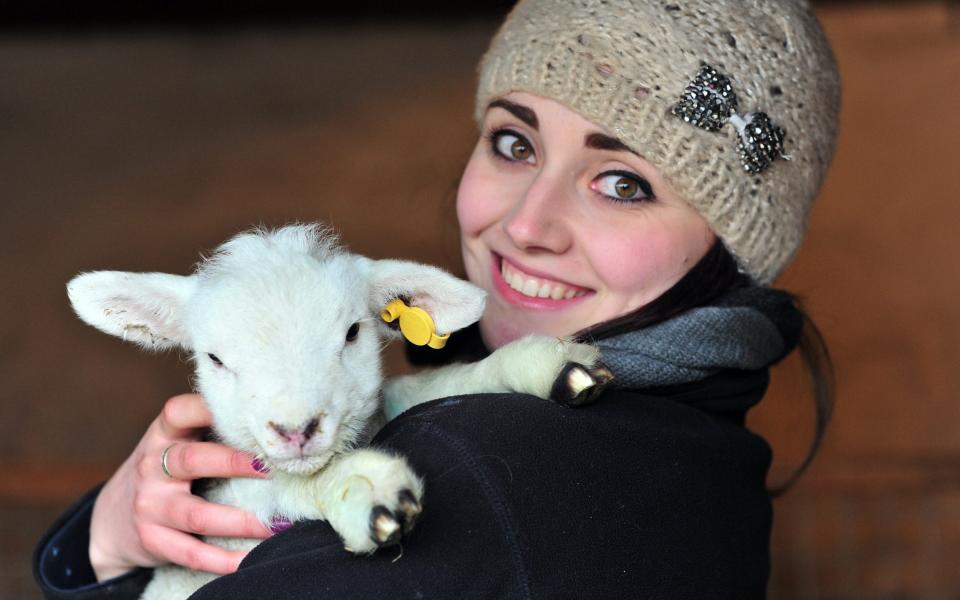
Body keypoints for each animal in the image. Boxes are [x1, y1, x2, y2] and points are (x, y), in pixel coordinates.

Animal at [67, 224, 608, 600]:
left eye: (352, 332)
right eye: (214, 359)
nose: (296, 430)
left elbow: (424, 387)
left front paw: (546, 364)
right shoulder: (237, 502)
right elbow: (289, 485)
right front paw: (366, 489)